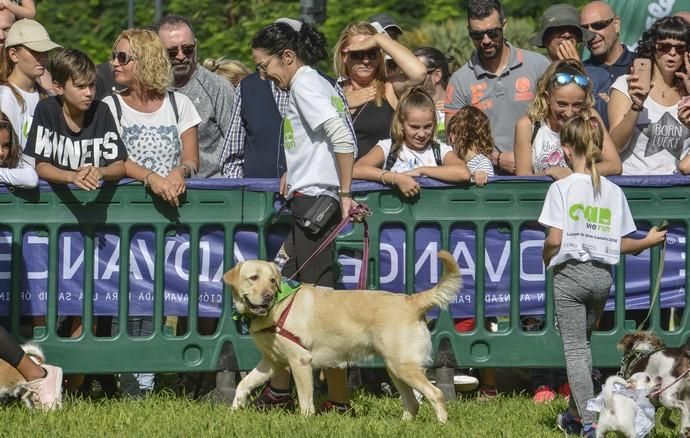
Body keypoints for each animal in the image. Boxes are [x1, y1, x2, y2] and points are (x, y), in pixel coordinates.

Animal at [226, 250, 460, 420]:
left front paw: (305, 422)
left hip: (403, 367)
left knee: (436, 394)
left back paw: (441, 425)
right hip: (396, 369)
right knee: (412, 403)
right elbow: (243, 384)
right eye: (253, 278)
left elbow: (305, 401)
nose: (267, 297)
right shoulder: (272, 362)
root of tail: (411, 300)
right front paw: (234, 411)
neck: (279, 307)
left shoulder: (300, 361)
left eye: (272, 281)